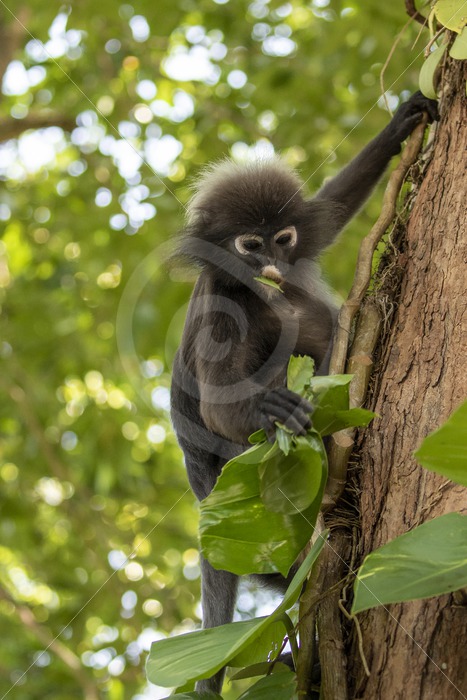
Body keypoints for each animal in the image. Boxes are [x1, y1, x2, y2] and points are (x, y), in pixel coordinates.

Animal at [170, 92, 438, 694]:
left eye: (282, 238)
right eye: (249, 243)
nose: (272, 262)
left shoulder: (306, 234)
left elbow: (331, 211)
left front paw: (400, 123)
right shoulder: (219, 303)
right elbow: (217, 408)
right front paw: (273, 409)